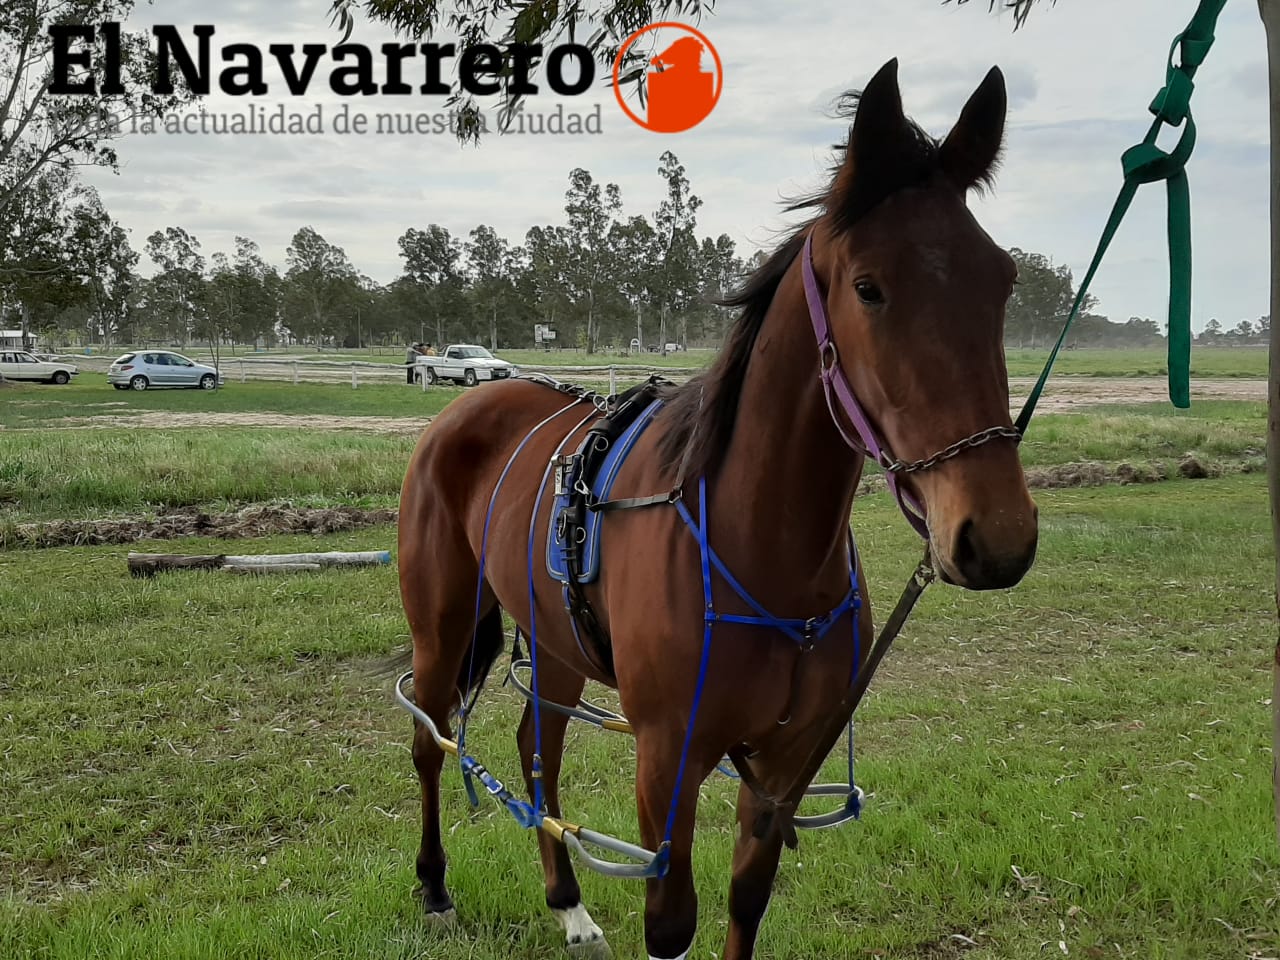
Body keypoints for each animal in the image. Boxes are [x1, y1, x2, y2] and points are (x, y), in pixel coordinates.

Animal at [396, 58, 1038, 960]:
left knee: (534, 744)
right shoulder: (667, 761)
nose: (997, 533)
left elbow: (746, 900)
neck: (764, 554)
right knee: (430, 734)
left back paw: (568, 903)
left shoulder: (779, 771)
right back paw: (432, 884)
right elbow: (673, 922)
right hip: (443, 622)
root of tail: (470, 400)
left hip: (554, 637)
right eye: (869, 287)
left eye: (1002, 281)